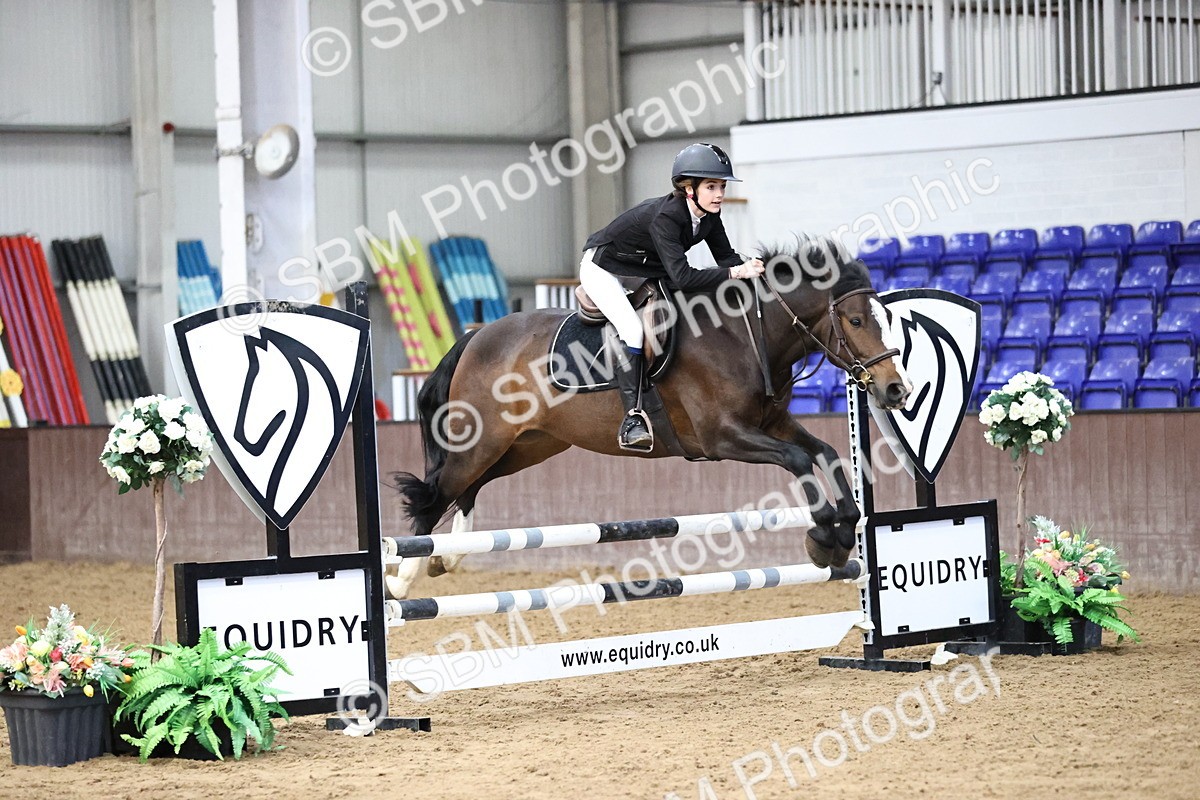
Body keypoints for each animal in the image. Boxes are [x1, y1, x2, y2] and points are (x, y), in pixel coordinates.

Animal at [385, 237, 912, 599]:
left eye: (886, 319)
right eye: (856, 321)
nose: (896, 391)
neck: (745, 334)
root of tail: (475, 337)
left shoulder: (772, 425)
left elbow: (826, 453)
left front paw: (843, 532)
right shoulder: (723, 438)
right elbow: (800, 461)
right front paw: (823, 537)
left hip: (527, 445)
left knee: (467, 489)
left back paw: (449, 560)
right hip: (483, 442)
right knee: (437, 494)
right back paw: (402, 581)